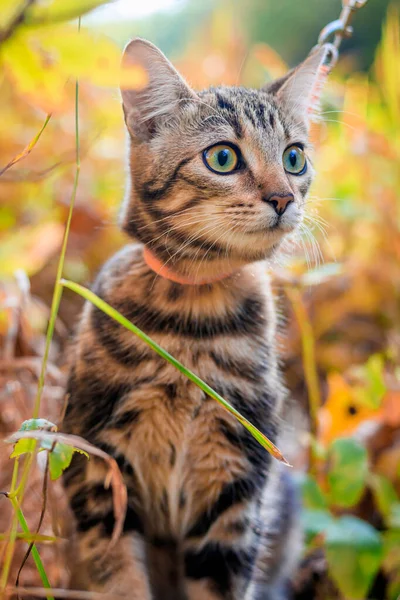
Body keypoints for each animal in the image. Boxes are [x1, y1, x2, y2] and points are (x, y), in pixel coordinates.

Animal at [61, 38, 332, 600]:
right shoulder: (99, 470)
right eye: (223, 157)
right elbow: (119, 577)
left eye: (294, 158)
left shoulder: (236, 482)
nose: (283, 197)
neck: (192, 319)